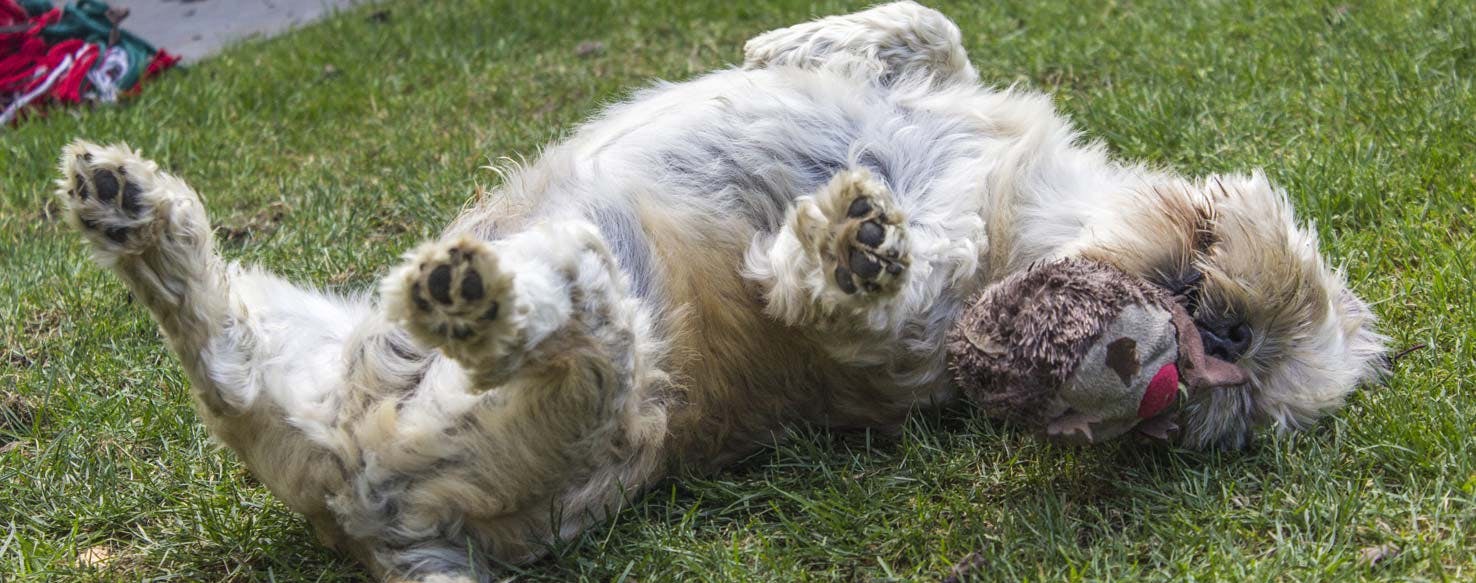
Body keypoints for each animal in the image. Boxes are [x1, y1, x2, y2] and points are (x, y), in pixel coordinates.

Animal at [52, 2, 1387, 581]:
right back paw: (138, 209)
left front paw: (849, 250)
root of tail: (373, 515)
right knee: (222, 345)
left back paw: (487, 295)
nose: (1201, 347)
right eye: (1232, 350)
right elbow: (930, 30)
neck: (1035, 218)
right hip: (308, 338)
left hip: (606, 382)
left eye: (1217, 402)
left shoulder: (922, 326)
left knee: (569, 328)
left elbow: (875, 296)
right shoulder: (960, 108)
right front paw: (800, 43)